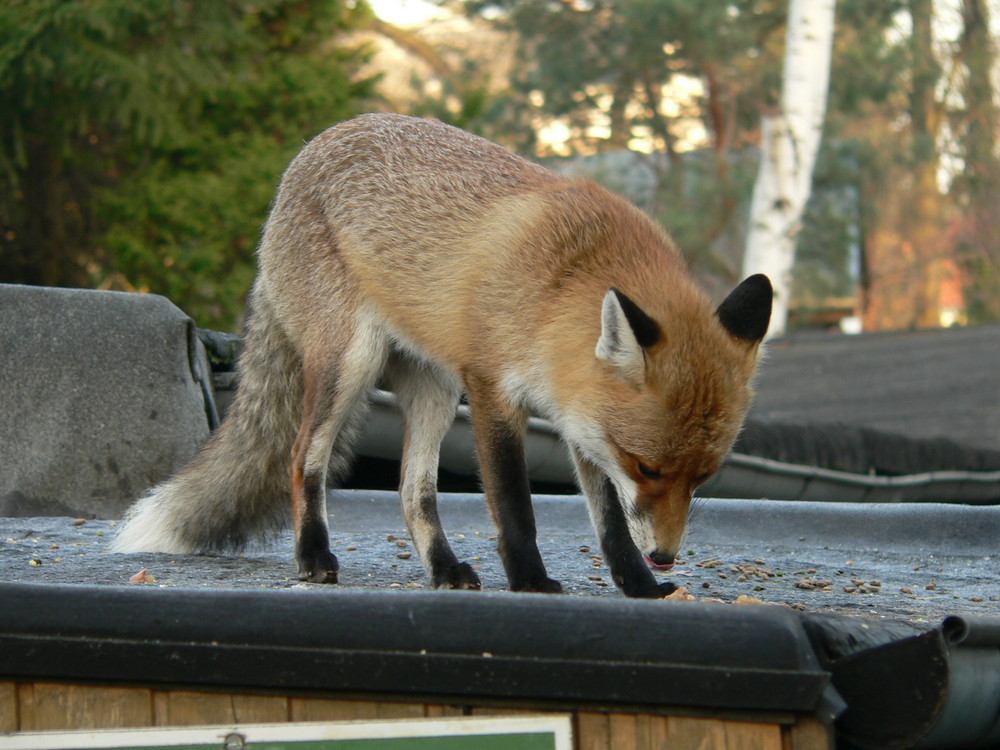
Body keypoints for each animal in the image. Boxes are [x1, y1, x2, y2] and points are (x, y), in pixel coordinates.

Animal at [117, 114, 772, 604]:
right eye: (648, 467)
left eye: (702, 478)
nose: (664, 557)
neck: (558, 288)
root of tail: (314, 146)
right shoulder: (492, 388)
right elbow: (515, 505)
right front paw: (531, 581)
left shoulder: (581, 421)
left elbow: (609, 521)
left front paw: (636, 585)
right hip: (351, 364)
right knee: (302, 459)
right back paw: (313, 555)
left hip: (433, 388)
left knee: (413, 492)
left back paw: (443, 569)